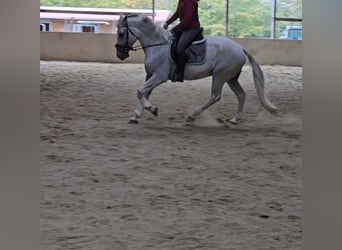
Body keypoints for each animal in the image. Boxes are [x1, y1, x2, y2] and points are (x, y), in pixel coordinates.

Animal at [115, 14, 278, 124]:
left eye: (121, 33)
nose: (120, 55)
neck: (158, 46)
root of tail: (240, 48)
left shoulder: (159, 76)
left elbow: (140, 91)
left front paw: (153, 110)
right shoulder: (150, 75)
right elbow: (144, 93)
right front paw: (136, 116)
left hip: (219, 76)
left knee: (215, 96)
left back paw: (192, 116)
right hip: (231, 78)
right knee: (241, 95)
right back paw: (234, 119)